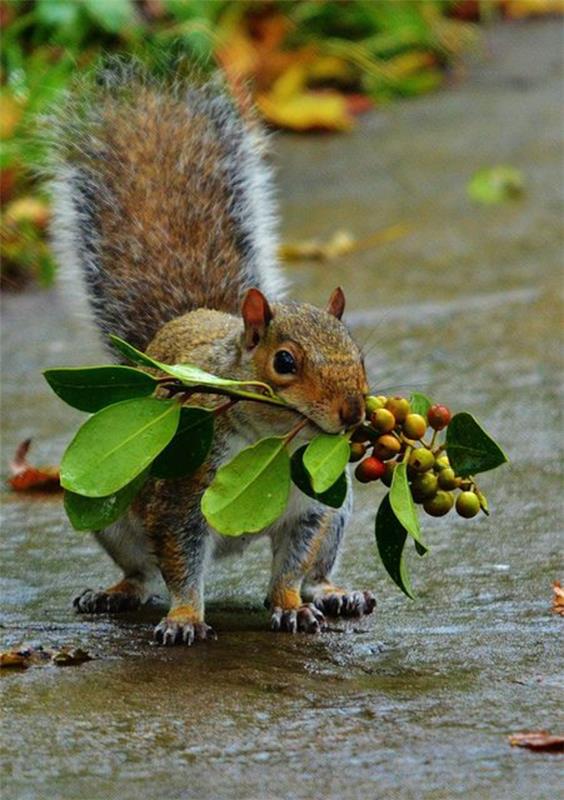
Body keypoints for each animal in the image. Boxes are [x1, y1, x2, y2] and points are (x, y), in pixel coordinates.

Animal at [49, 64, 374, 648]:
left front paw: (290, 607)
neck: (272, 450)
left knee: (315, 569)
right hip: (112, 510)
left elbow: (291, 565)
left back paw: (333, 592)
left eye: (358, 355)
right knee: (143, 570)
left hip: (339, 510)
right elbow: (180, 563)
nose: (353, 414)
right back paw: (116, 592)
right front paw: (183, 619)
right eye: (284, 362)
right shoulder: (181, 493)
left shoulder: (312, 506)